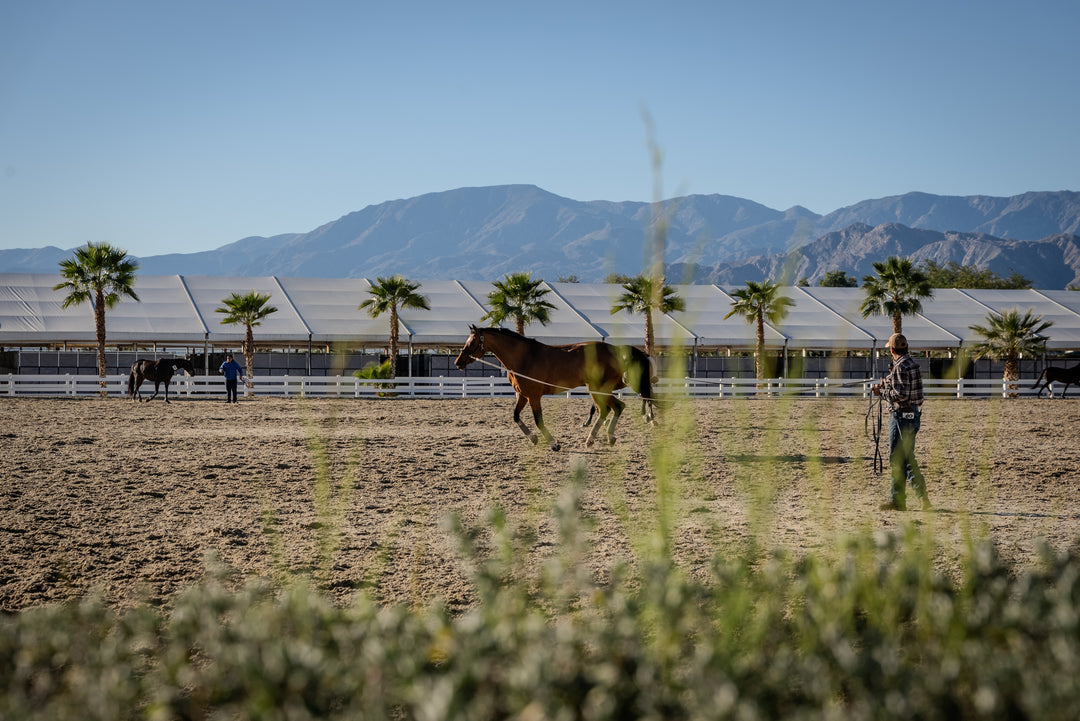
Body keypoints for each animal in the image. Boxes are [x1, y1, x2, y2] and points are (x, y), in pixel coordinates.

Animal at [454, 325, 655, 451]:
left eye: (471, 342)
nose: (458, 362)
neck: (524, 357)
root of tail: (617, 350)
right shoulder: (523, 395)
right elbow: (516, 416)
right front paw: (533, 438)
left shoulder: (534, 397)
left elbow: (539, 421)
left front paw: (554, 444)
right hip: (597, 389)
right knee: (611, 409)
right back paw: (601, 438)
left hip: (599, 389)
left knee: (613, 408)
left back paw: (597, 438)